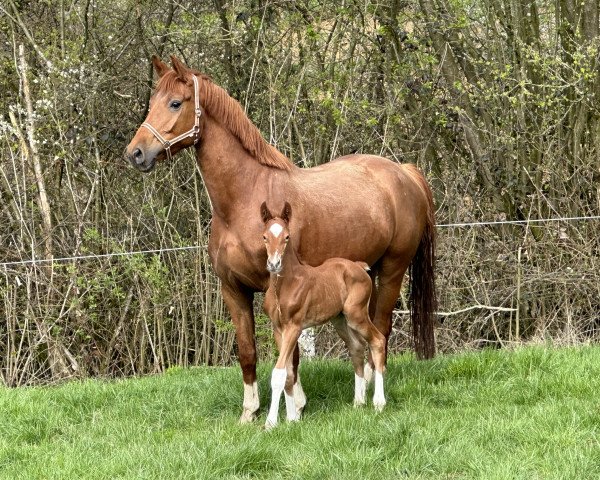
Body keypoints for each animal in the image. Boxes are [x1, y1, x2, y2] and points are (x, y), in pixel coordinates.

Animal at [262, 200, 384, 428]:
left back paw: (378, 403)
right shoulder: (278, 329)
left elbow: (279, 373)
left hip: (356, 315)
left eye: (287, 237)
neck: (284, 286)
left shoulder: (294, 327)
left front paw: (271, 423)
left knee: (378, 340)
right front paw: (291, 419)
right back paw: (358, 402)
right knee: (357, 347)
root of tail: (359, 267)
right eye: (264, 236)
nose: (274, 264)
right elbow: (289, 374)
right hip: (340, 320)